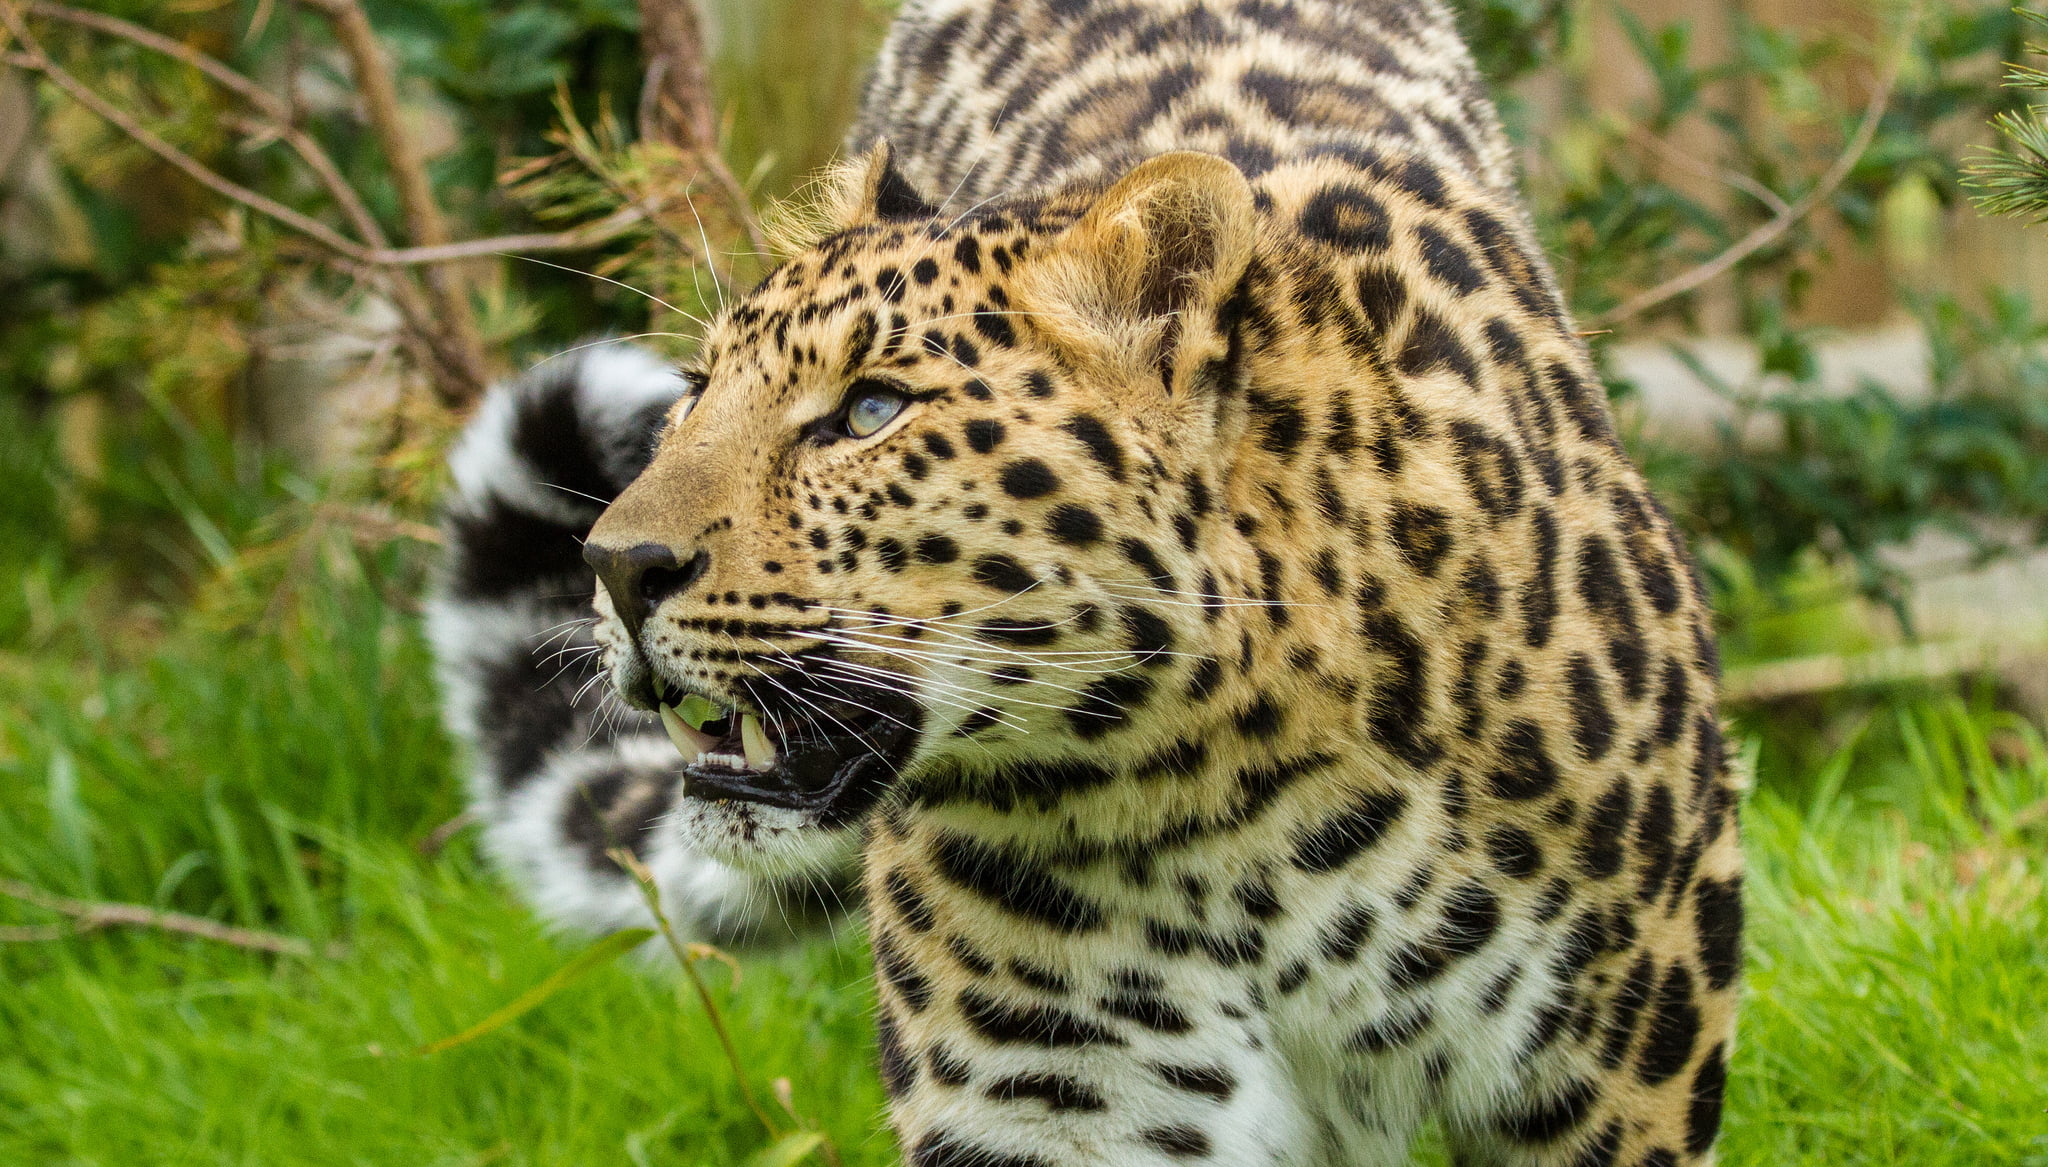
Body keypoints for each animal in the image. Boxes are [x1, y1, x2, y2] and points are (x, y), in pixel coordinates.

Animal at [425, 0, 1744, 1163]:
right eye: (696, 390)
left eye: (869, 411)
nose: (614, 567)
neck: (1242, 806)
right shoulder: (1058, 1099)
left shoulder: (1616, 1078)